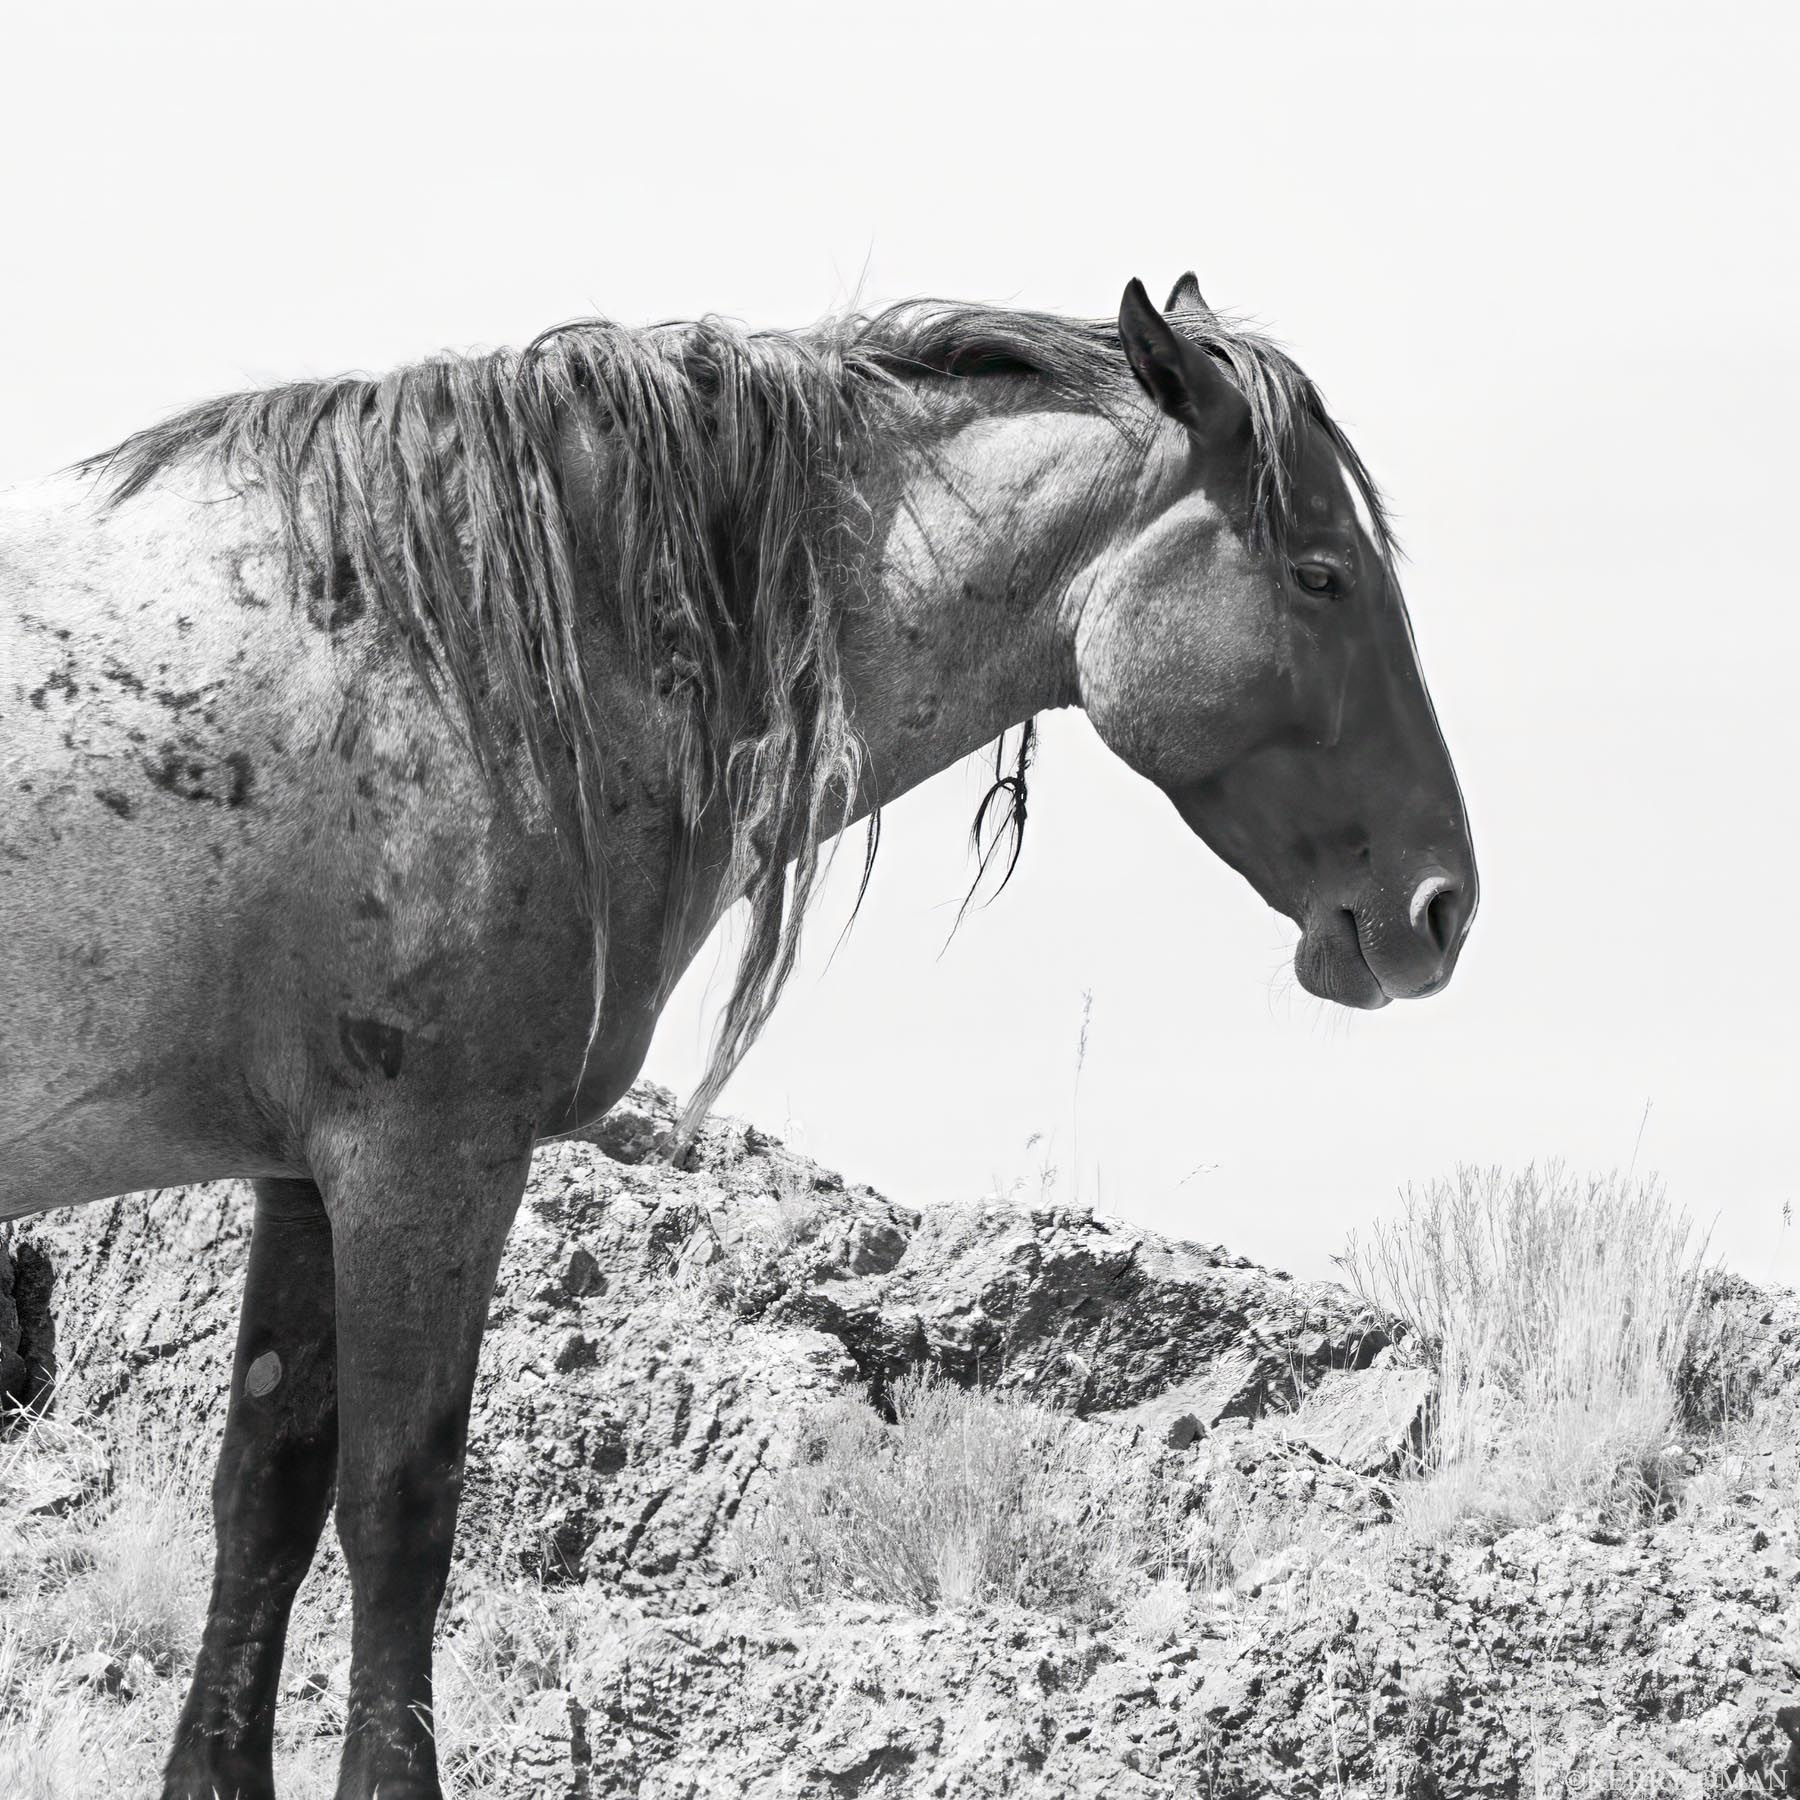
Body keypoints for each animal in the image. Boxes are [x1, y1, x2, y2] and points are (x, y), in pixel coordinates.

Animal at [0, 272, 1476, 1798]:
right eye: (1320, 574)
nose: (1441, 906)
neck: (464, 658)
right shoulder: (425, 1164)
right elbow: (400, 1507)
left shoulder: (305, 1173)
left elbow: (268, 1496)